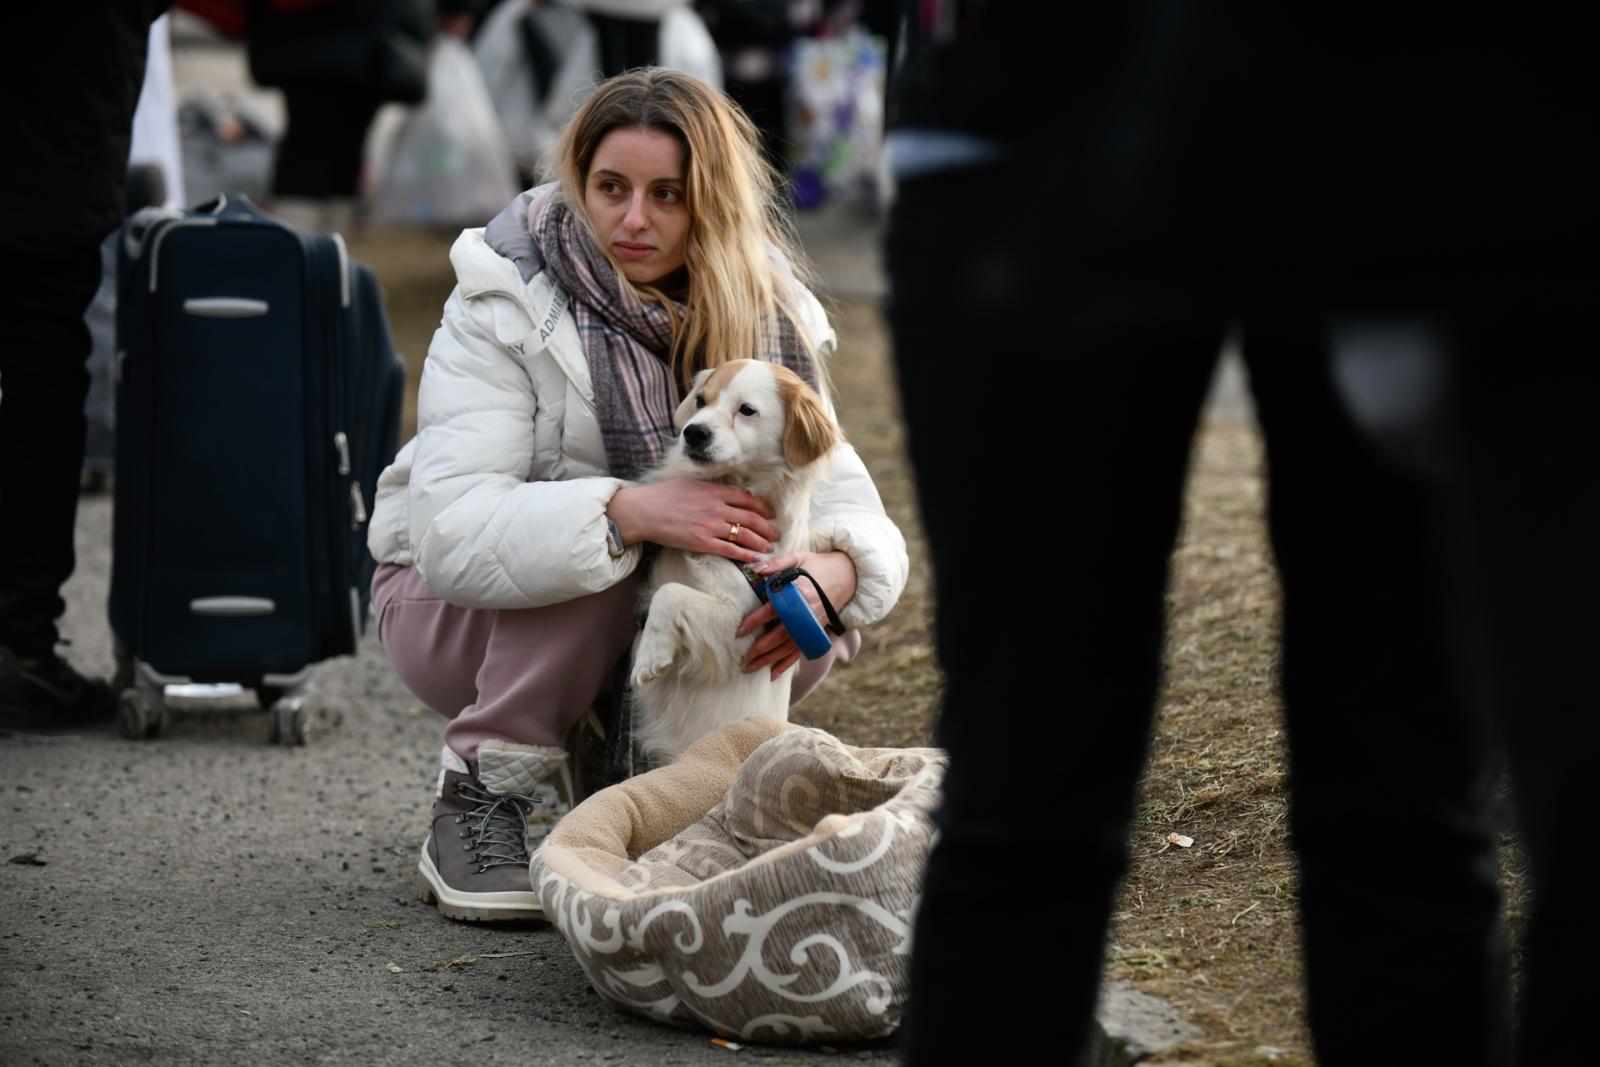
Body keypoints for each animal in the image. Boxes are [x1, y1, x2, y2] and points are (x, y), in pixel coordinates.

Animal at [630, 363, 844, 764]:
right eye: (700, 400)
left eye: (746, 410)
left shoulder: (742, 627)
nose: (693, 432)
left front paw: (650, 655)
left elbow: (671, 594)